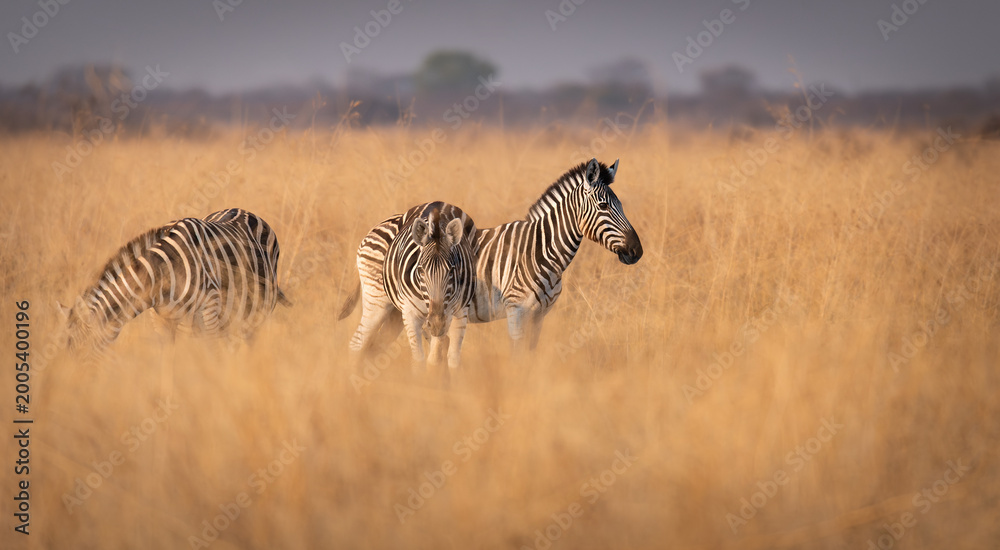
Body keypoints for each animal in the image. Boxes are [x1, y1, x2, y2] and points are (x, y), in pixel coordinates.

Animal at [58, 208, 291, 355]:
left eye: (82, 348)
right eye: (67, 350)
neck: (161, 277)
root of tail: (243, 209)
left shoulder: (209, 310)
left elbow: (212, 355)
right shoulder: (162, 319)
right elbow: (168, 358)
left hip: (256, 311)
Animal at [339, 202, 476, 369]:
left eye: (452, 270)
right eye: (421, 270)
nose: (436, 324)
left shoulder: (459, 313)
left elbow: (448, 360)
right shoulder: (412, 313)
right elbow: (420, 361)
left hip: (395, 314)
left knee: (375, 346)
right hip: (377, 300)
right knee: (357, 344)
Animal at [344, 158, 642, 352]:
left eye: (621, 205)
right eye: (603, 206)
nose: (637, 251)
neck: (541, 250)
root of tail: (373, 229)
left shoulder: (539, 316)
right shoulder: (516, 310)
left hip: (399, 310)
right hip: (378, 301)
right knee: (357, 344)